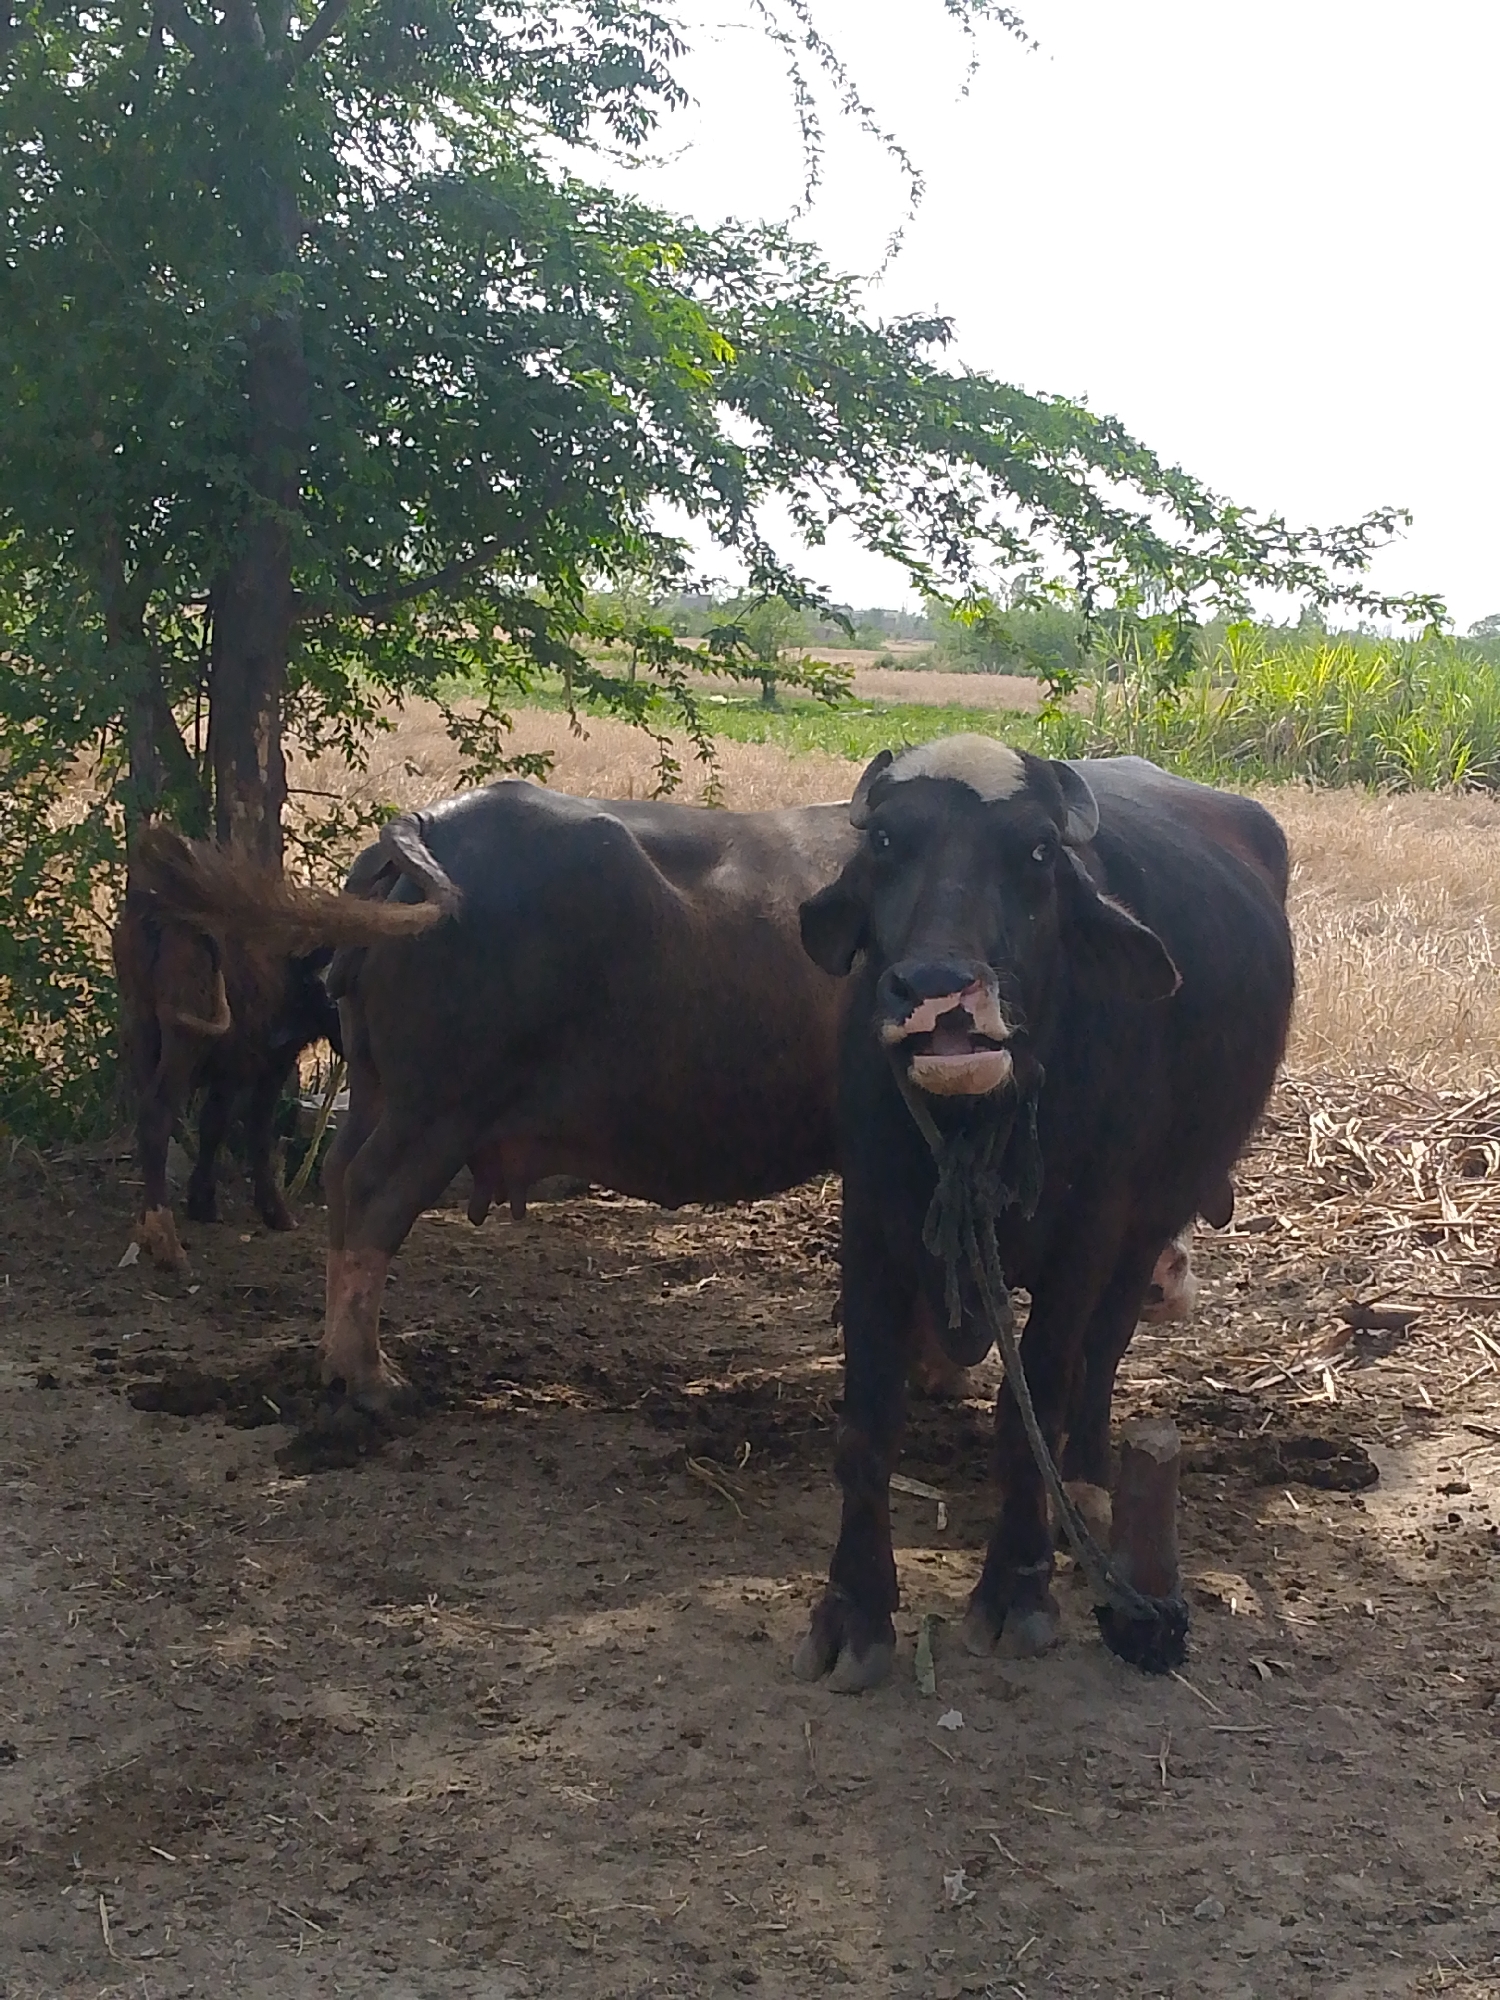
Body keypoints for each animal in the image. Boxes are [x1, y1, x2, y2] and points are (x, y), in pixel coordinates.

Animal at [792, 740, 1294, 1690]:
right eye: (885, 840)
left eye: (1034, 852)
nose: (938, 989)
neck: (970, 1125)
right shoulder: (869, 1223)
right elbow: (865, 1426)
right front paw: (853, 1610)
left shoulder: (1088, 1235)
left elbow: (1035, 1405)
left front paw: (1016, 1588)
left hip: (1149, 1224)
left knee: (1104, 1353)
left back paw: (1090, 1483)